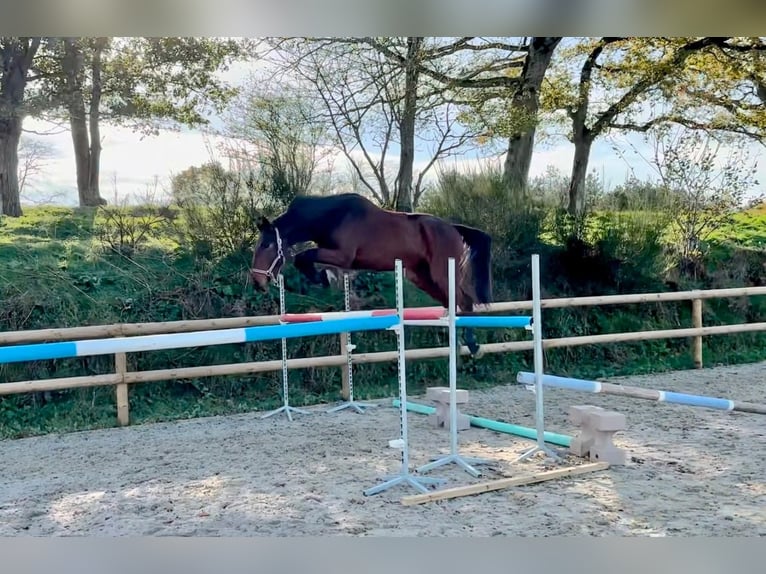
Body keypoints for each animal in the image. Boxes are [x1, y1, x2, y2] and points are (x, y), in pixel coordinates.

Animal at [249, 194, 496, 356]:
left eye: (267, 245)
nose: (257, 282)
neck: (333, 216)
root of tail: (453, 228)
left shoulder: (343, 255)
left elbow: (303, 256)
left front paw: (323, 278)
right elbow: (304, 258)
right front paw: (324, 277)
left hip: (442, 272)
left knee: (464, 301)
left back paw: (473, 346)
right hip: (421, 276)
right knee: (451, 302)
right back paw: (457, 343)